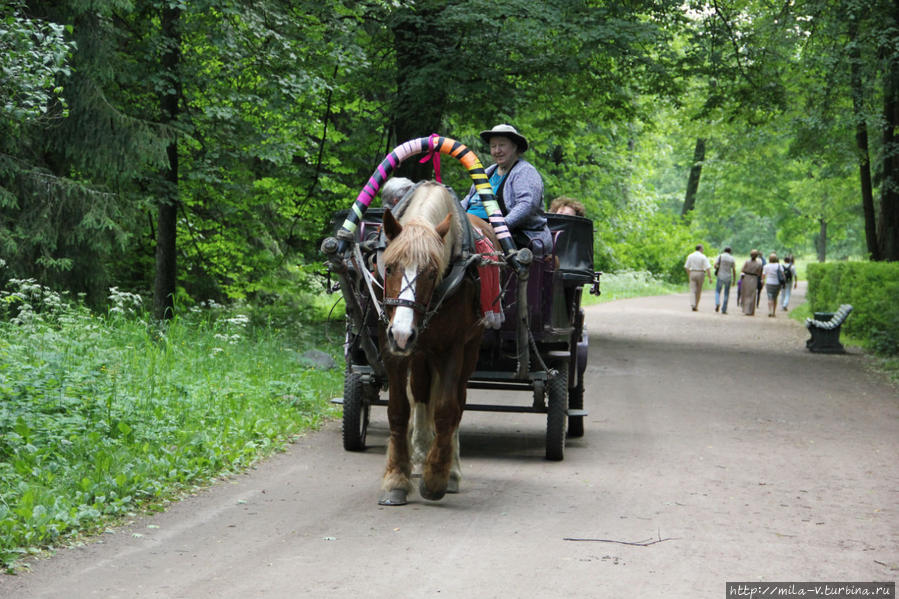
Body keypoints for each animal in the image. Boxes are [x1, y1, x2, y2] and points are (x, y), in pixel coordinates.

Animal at [376, 183, 496, 506]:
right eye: (389, 268)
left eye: (431, 272)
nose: (402, 334)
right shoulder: (392, 347)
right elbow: (399, 411)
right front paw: (396, 478)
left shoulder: (452, 347)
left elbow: (446, 410)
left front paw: (437, 478)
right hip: (420, 351)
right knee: (420, 391)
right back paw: (419, 453)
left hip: (469, 348)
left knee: (458, 402)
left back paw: (449, 469)